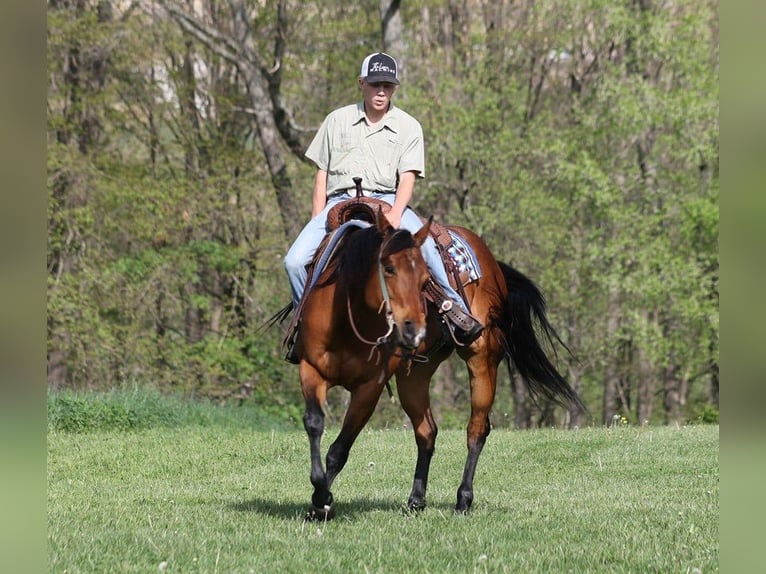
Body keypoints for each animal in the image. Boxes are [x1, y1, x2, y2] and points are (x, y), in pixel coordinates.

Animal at [272, 207, 584, 520]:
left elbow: (340, 449)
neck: (350, 320)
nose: (413, 327)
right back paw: (416, 500)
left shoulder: (369, 387)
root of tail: (492, 261)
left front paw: (323, 501)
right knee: (427, 431)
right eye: (388, 268)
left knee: (476, 430)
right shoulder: (311, 370)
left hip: (481, 361)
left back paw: (463, 499)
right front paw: (318, 498)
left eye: (425, 279)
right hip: (414, 376)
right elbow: (314, 423)